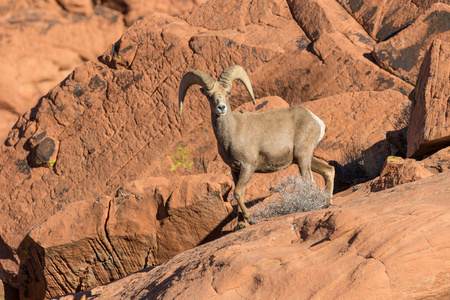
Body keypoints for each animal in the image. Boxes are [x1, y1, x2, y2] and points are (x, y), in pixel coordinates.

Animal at [179, 65, 334, 225]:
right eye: (209, 96)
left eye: (228, 94)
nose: (221, 108)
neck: (232, 132)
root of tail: (317, 121)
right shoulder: (235, 170)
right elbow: (239, 194)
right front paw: (240, 225)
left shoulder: (248, 166)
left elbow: (238, 193)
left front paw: (250, 218)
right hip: (303, 158)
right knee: (329, 170)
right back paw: (327, 204)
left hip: (302, 158)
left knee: (309, 180)